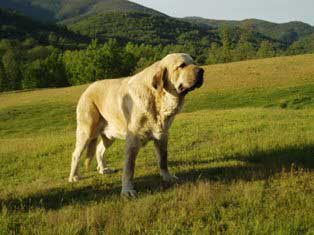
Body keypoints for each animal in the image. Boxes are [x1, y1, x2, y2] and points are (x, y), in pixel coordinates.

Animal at [68, 52, 204, 196]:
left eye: (194, 63)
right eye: (182, 65)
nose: (201, 71)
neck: (158, 97)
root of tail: (88, 88)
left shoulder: (163, 136)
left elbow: (163, 159)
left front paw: (167, 177)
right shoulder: (132, 140)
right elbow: (129, 168)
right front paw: (127, 190)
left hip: (110, 135)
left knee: (99, 149)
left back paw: (103, 169)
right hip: (86, 132)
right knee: (76, 154)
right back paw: (74, 176)